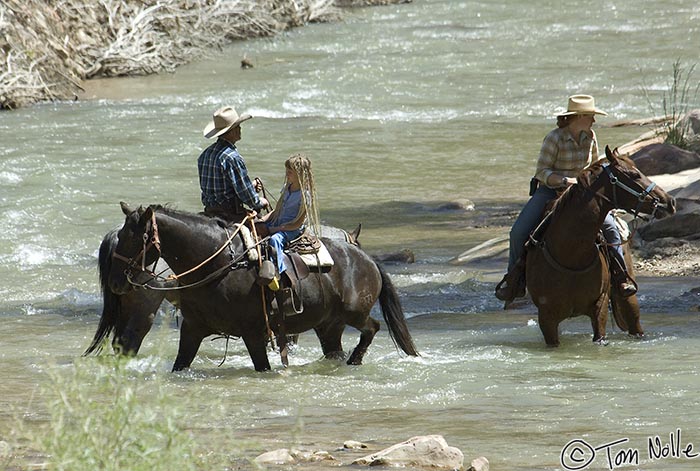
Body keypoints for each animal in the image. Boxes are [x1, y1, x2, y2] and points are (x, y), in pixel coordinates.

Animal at [106, 203, 418, 372]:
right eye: (122, 235)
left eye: (134, 238)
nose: (116, 281)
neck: (220, 262)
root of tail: (367, 259)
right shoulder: (192, 329)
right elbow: (180, 363)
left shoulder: (253, 332)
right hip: (330, 325)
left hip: (352, 315)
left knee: (372, 328)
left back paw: (355, 360)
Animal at [528, 147, 676, 346]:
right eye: (635, 175)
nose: (670, 202)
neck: (571, 254)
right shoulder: (547, 318)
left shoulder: (600, 306)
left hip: (629, 300)